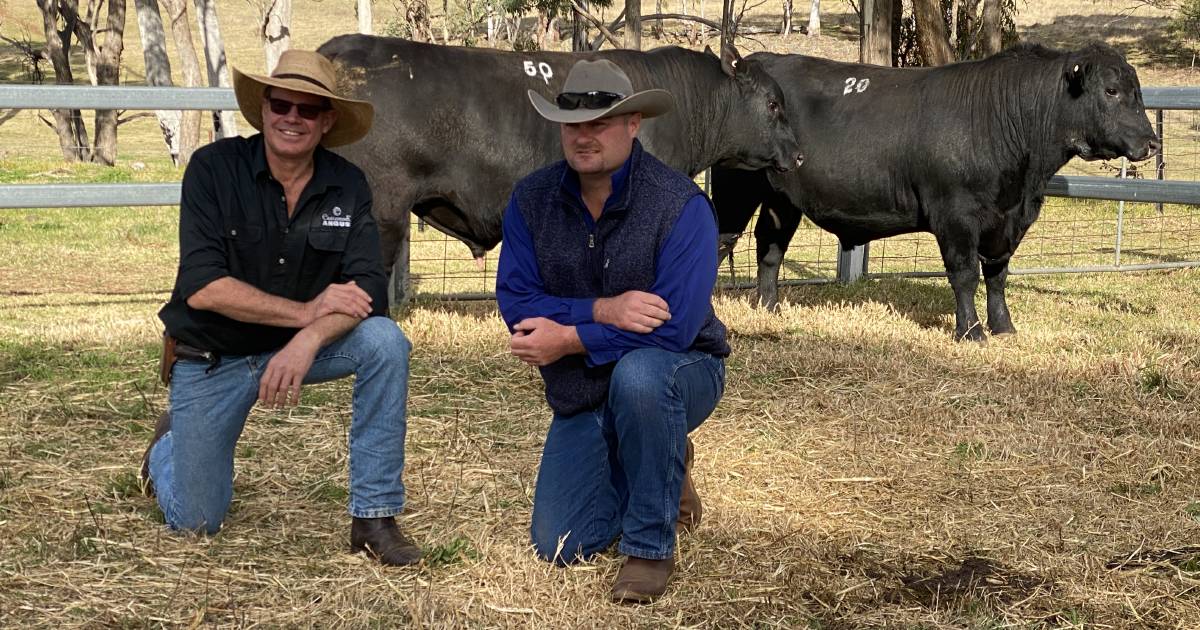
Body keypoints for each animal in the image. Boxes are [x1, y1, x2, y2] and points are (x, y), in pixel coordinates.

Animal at [710, 42, 1161, 340]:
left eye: (1137, 91)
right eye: (1111, 91)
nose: (1152, 142)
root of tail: (755, 61)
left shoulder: (1007, 221)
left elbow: (997, 275)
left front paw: (1004, 328)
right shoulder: (956, 216)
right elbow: (965, 275)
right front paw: (971, 332)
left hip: (781, 201)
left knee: (769, 247)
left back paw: (769, 308)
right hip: (736, 189)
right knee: (721, 239)